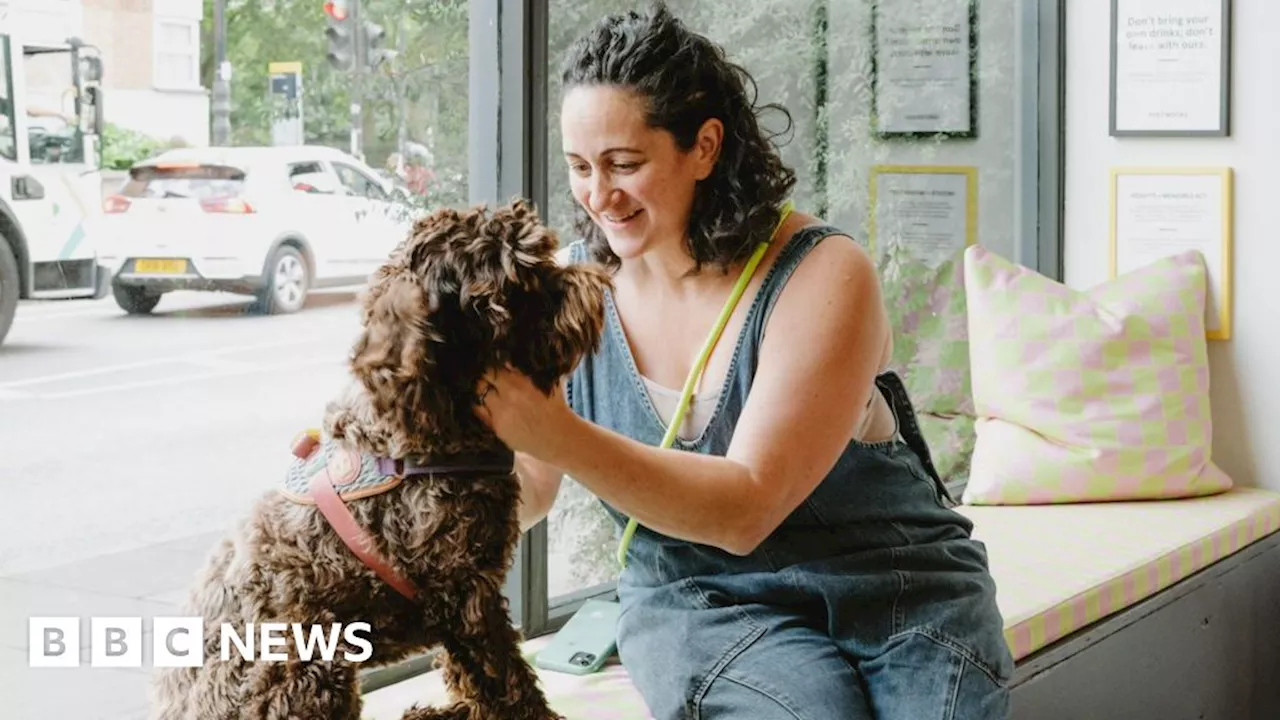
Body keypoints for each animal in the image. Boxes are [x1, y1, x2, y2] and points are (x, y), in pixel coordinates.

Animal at [149, 197, 609, 717]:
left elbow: (468, 675)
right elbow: (506, 680)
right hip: (308, 662)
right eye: (520, 283)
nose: (595, 280)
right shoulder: (468, 596)